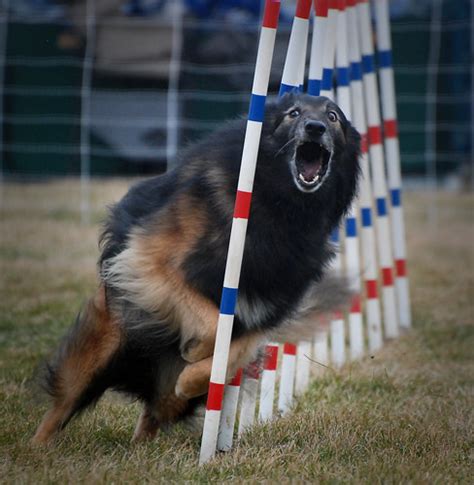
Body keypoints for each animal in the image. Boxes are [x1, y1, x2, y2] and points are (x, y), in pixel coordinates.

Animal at [32, 92, 360, 444]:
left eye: (333, 116)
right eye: (294, 113)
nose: (315, 128)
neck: (280, 206)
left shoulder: (264, 311)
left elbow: (231, 353)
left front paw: (192, 377)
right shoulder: (150, 260)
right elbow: (212, 327)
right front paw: (194, 356)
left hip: (160, 394)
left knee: (155, 411)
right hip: (102, 346)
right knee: (63, 403)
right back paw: (37, 447)